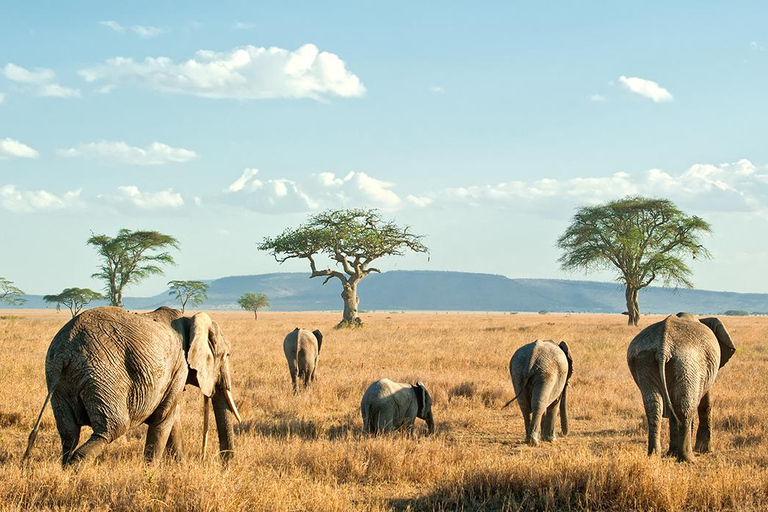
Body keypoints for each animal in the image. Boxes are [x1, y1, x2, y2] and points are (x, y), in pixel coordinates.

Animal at [24, 306, 240, 466]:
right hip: (103, 374)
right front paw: (150, 472)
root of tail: (65, 351)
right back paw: (74, 469)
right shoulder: (179, 366)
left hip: (57, 379)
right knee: (112, 428)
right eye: (227, 355)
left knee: (69, 433)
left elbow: (173, 418)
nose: (225, 465)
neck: (190, 320)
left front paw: (180, 468)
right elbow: (164, 418)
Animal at [628, 310, 736, 462]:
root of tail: (663, 347)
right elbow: (705, 402)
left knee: (654, 406)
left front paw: (672, 453)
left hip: (644, 360)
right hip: (687, 361)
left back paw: (654, 456)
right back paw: (688, 459)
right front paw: (705, 450)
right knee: (685, 406)